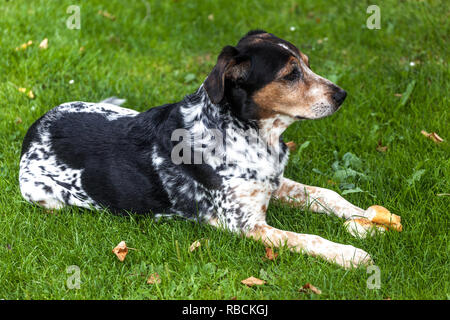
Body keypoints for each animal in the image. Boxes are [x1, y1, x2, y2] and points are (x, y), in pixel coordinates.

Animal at [19, 31, 402, 268]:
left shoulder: (275, 183)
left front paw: (366, 217)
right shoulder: (246, 224)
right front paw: (350, 255)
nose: (342, 95)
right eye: (291, 74)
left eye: (307, 62)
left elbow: (328, 195)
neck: (251, 134)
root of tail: (34, 128)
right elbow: (307, 238)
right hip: (44, 197)